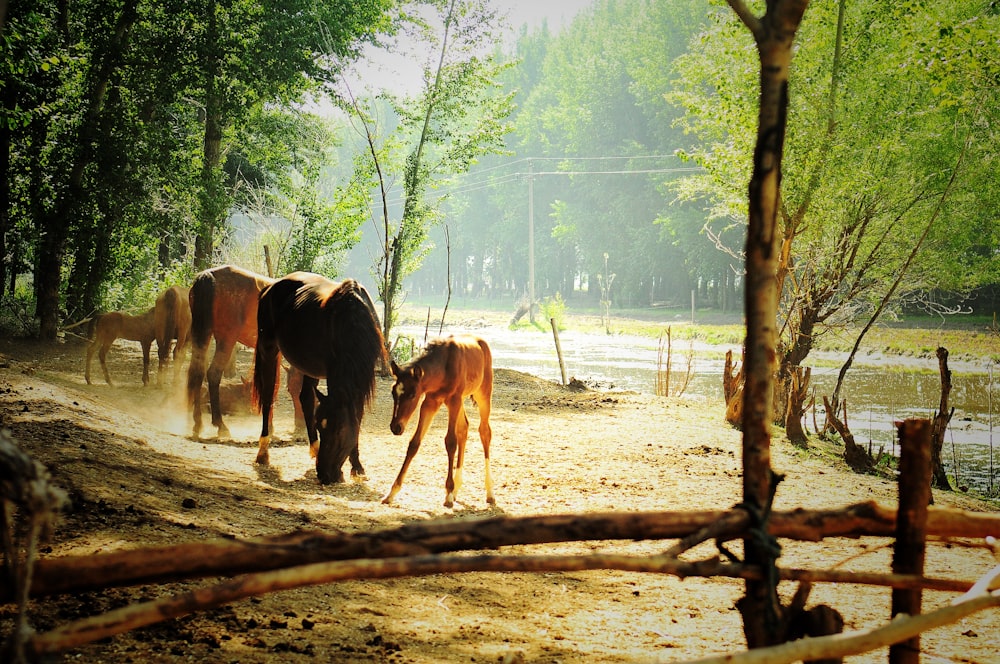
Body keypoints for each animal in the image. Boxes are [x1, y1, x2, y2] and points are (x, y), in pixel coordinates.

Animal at [186, 262, 274, 438]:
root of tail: (208, 276)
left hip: (202, 335)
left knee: (197, 372)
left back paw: (197, 423)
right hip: (226, 339)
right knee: (213, 374)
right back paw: (220, 425)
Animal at [250, 272, 386, 486]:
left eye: (338, 430)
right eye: (321, 427)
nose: (324, 475)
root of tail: (269, 288)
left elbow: (357, 416)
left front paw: (357, 467)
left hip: (308, 366)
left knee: (305, 398)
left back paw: (314, 450)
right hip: (268, 349)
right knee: (268, 396)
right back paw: (263, 451)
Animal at [380, 334, 494, 506]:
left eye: (412, 394)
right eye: (393, 393)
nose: (396, 427)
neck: (443, 366)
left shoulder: (453, 400)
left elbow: (450, 442)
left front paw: (448, 493)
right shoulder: (430, 402)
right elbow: (414, 443)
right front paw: (392, 492)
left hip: (483, 394)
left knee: (484, 432)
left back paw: (489, 493)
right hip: (461, 401)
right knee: (464, 429)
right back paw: (457, 489)